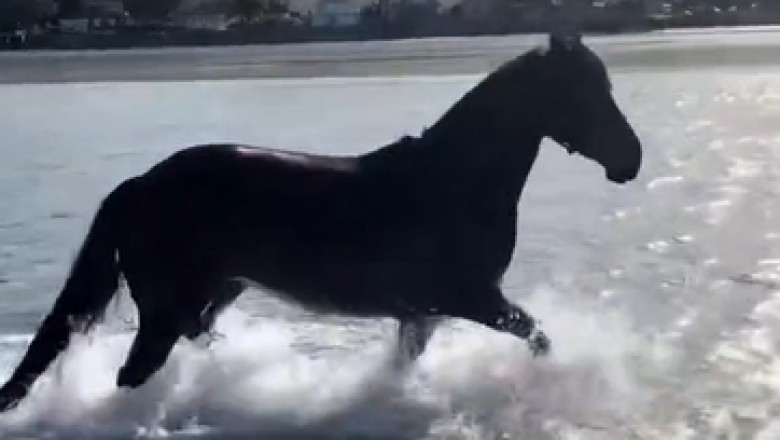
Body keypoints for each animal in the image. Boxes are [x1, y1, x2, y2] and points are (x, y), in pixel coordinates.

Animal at [0, 33, 641, 412]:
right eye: (585, 93)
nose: (630, 161)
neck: (453, 179)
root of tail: (140, 184)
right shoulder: (472, 297)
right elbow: (539, 337)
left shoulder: (422, 311)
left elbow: (404, 364)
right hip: (164, 310)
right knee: (135, 374)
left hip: (215, 292)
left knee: (190, 341)